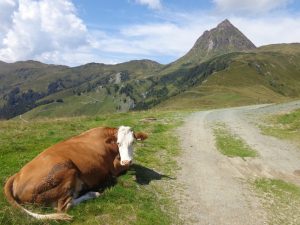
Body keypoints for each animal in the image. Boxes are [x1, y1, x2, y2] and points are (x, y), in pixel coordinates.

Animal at [2, 125, 147, 221]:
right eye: (118, 143)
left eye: (133, 142)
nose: (126, 160)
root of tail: (17, 174)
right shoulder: (114, 167)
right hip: (67, 171)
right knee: (64, 206)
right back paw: (92, 193)